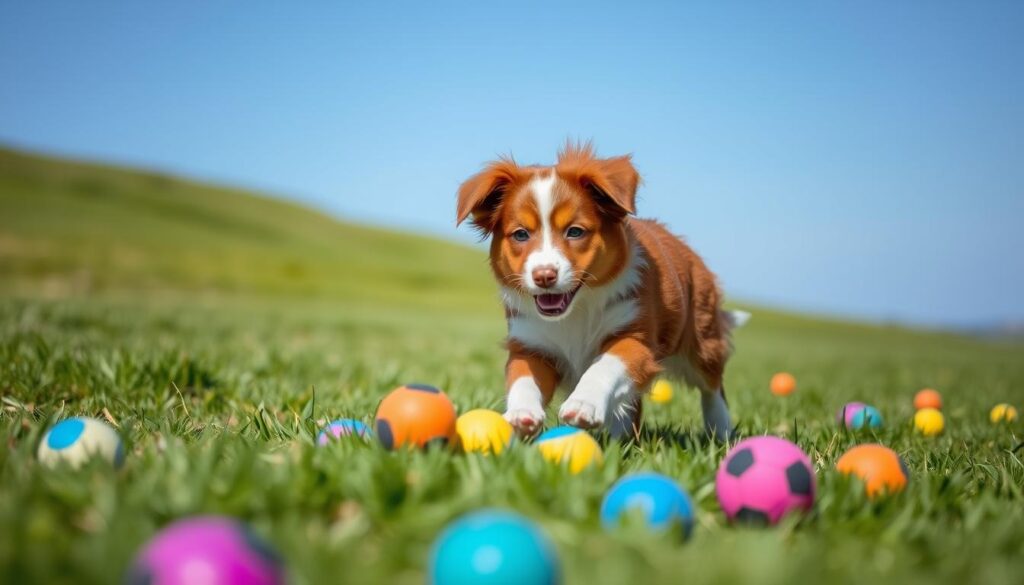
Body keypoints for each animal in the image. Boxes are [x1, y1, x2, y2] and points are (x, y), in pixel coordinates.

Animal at [456, 144, 745, 442]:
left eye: (575, 232)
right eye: (521, 234)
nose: (544, 275)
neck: (575, 311)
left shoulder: (635, 337)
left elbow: (604, 366)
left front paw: (584, 403)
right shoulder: (531, 345)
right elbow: (522, 379)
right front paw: (520, 414)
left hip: (702, 338)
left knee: (713, 386)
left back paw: (721, 432)